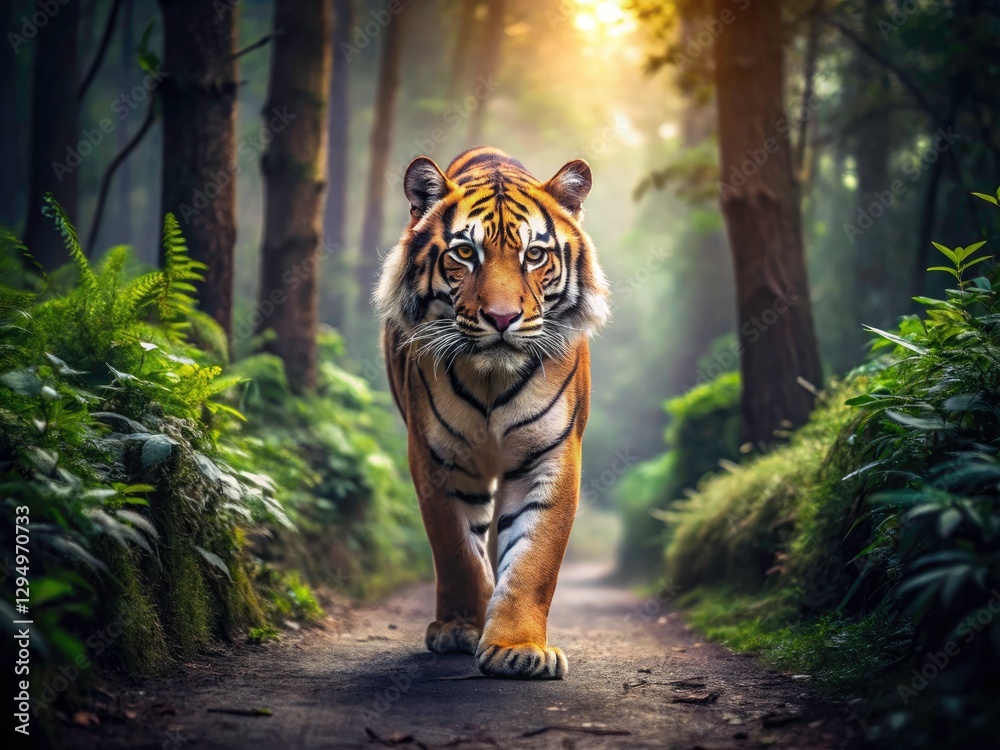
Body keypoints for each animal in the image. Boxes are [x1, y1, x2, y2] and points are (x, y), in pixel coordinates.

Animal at [374, 146, 610, 679]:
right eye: (465, 253)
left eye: (534, 255)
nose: (502, 318)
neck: (491, 380)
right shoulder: (436, 458)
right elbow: (456, 548)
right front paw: (462, 627)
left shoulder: (551, 456)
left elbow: (534, 559)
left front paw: (516, 648)